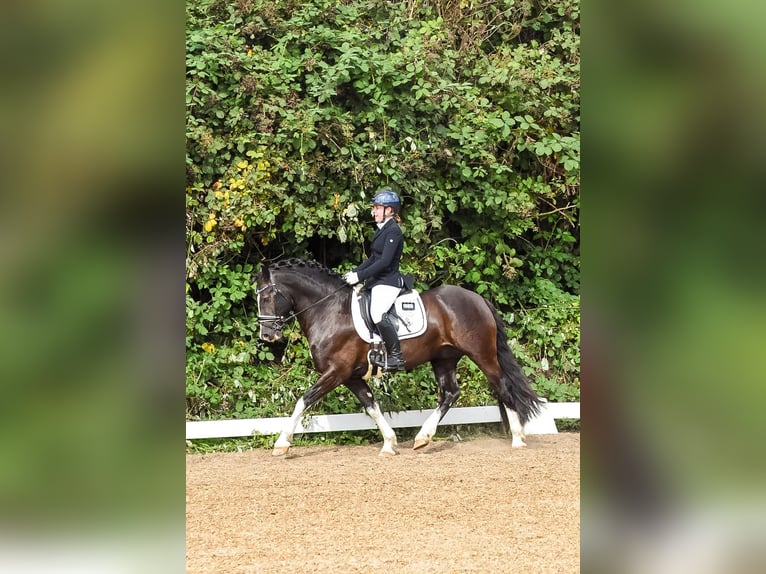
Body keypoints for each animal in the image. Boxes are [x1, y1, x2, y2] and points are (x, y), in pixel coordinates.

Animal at [255, 258, 543, 456]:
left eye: (268, 295)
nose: (267, 335)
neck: (330, 310)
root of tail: (477, 298)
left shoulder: (336, 372)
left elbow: (303, 401)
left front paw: (281, 444)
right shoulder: (351, 376)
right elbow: (371, 406)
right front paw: (389, 443)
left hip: (482, 354)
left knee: (502, 387)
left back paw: (517, 439)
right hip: (444, 359)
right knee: (450, 394)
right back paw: (423, 437)